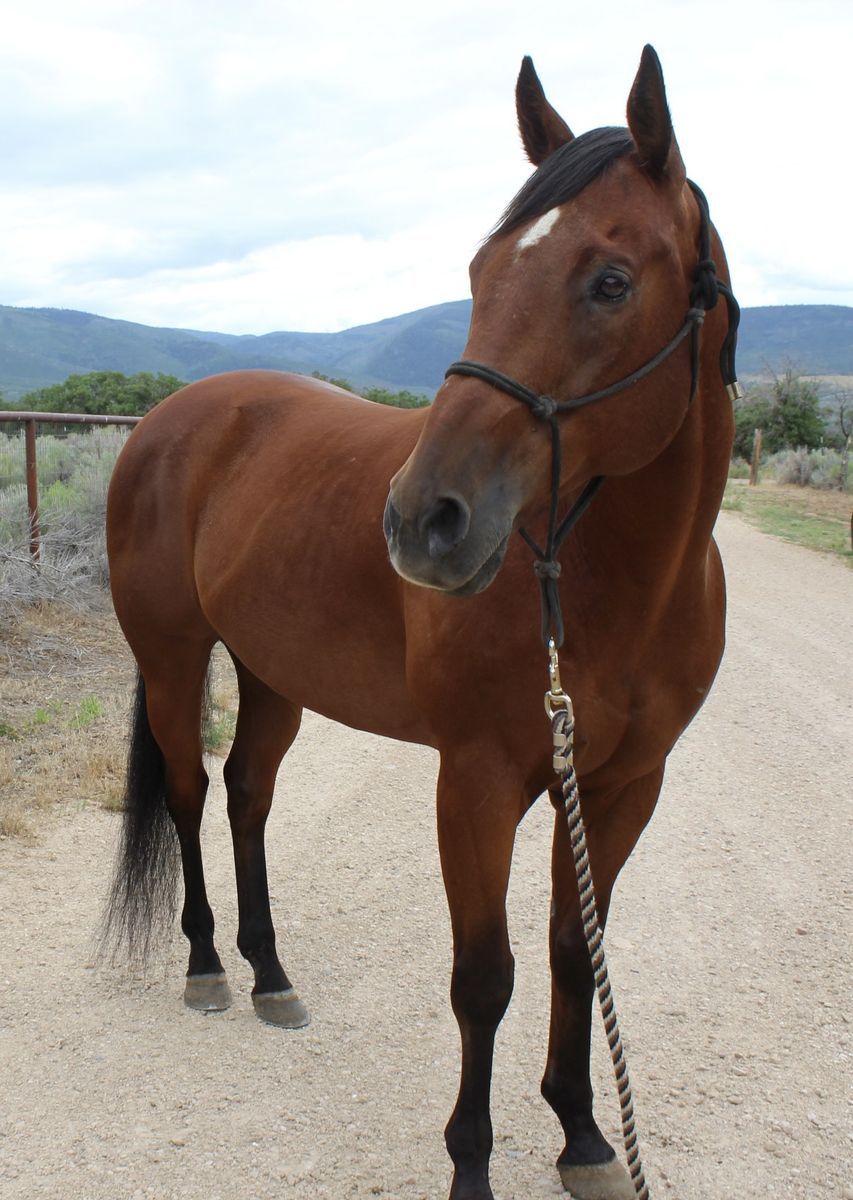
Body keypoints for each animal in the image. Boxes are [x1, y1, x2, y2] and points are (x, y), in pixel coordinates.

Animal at [104, 45, 737, 1200]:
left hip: (272, 674)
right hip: (174, 661)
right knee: (187, 795)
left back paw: (269, 971)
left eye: (610, 281)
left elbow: (574, 949)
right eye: (481, 274)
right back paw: (210, 965)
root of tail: (172, 416)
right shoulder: (475, 781)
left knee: (248, 795)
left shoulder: (623, 785)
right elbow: (483, 977)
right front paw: (472, 1165)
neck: (607, 583)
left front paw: (583, 1134)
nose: (422, 521)